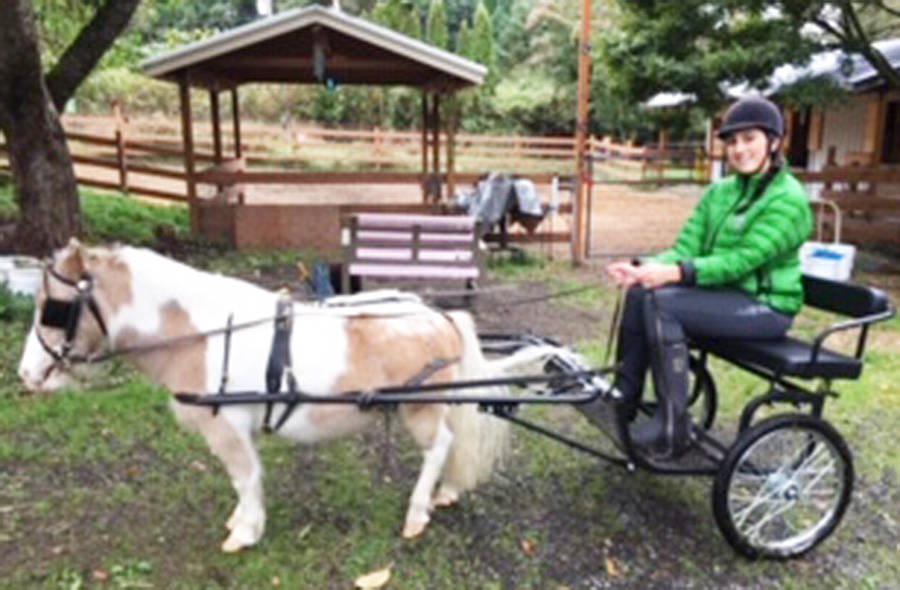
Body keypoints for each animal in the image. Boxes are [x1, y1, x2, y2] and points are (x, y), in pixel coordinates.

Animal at [17, 238, 553, 552]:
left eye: (52, 309)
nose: (25, 373)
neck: (202, 333)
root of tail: (438, 315)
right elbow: (246, 479)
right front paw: (241, 519)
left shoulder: (227, 427)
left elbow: (245, 476)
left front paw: (245, 531)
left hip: (419, 407)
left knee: (439, 446)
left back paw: (418, 511)